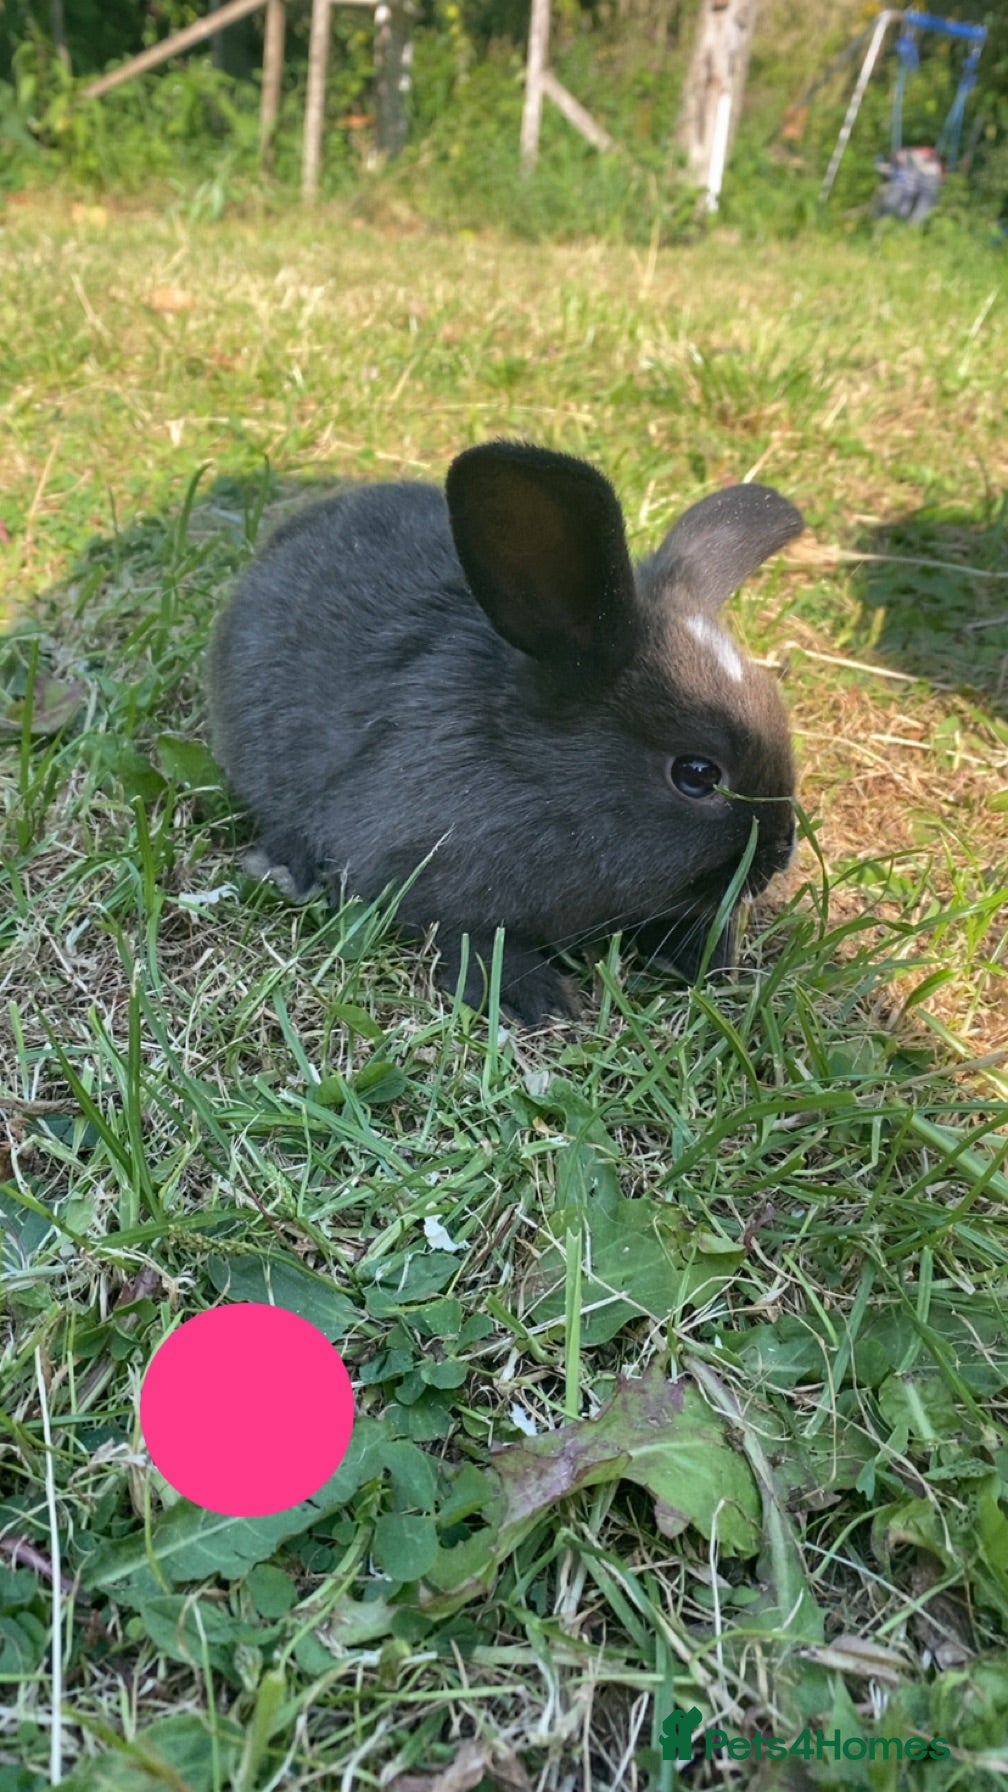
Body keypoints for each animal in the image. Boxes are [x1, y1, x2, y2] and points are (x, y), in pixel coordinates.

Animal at [206, 441, 803, 1026]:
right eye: (697, 774)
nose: (777, 857)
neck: (545, 785)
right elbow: (467, 937)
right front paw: (532, 997)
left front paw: (706, 959)